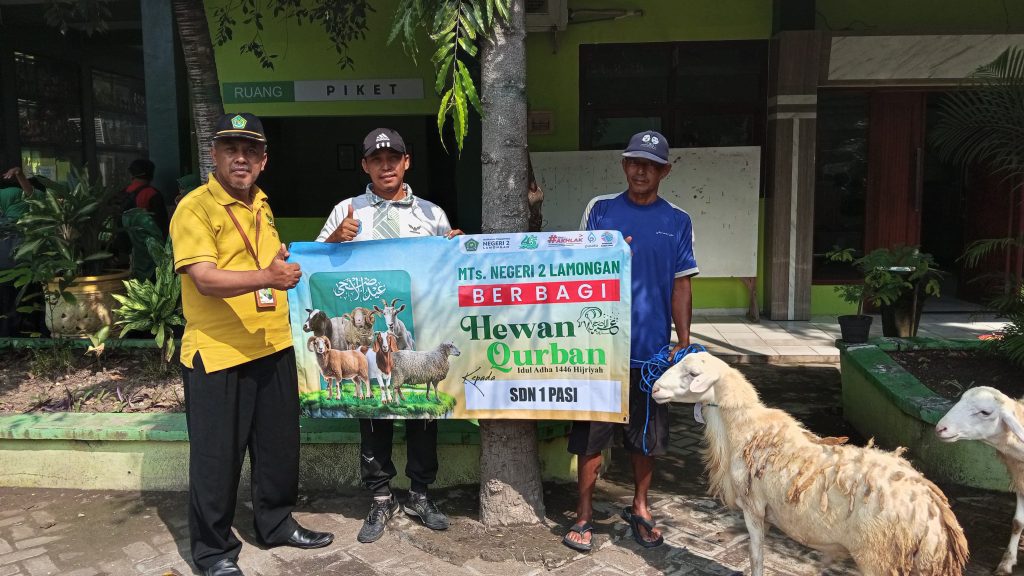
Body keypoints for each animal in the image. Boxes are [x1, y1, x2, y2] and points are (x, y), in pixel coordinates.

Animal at [652, 351, 969, 576]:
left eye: (692, 373)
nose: (654, 389)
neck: (744, 429)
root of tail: (935, 516)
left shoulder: (753, 508)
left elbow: (755, 557)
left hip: (879, 557)